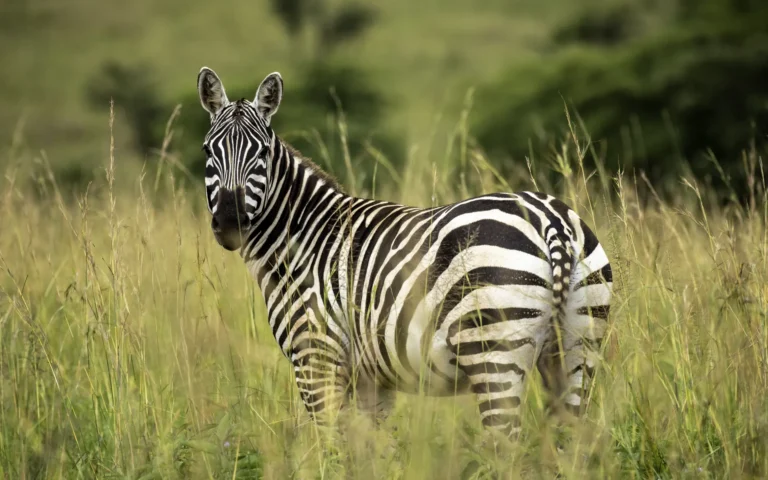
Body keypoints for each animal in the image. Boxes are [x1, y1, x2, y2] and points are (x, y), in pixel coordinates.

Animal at [197, 67, 613, 442]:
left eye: (263, 153)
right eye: (207, 151)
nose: (231, 221)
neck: (305, 237)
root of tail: (550, 219)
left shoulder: (316, 357)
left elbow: (328, 448)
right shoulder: (370, 377)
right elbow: (372, 450)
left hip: (494, 352)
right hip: (580, 345)